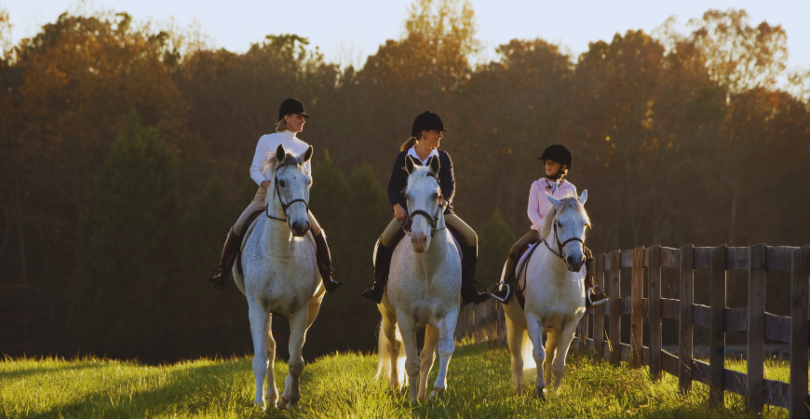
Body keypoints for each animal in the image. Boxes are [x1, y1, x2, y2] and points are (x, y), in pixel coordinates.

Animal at [232, 143, 325, 410]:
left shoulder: (301, 309)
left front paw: (292, 401)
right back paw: (271, 397)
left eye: (308, 181)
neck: (281, 252)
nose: (301, 226)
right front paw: (259, 403)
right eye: (281, 182)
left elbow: (296, 361)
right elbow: (261, 358)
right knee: (271, 350)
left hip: (313, 307)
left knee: (295, 346)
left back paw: (282, 397)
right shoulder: (258, 306)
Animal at [376, 154, 461, 403]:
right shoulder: (404, 316)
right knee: (394, 346)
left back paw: (424, 394)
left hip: (431, 323)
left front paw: (435, 391)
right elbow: (411, 362)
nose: (419, 240)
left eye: (436, 194)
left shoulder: (448, 313)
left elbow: (443, 351)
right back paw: (395, 386)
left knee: (427, 357)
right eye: (407, 195)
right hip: (388, 314)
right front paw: (413, 400)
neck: (427, 269)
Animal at [503, 191, 590, 399]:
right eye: (559, 223)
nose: (576, 261)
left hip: (554, 329)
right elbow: (538, 355)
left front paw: (555, 391)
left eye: (584, 224)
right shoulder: (534, 320)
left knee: (551, 354)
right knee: (518, 361)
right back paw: (519, 392)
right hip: (514, 325)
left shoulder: (570, 323)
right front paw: (540, 389)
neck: (558, 279)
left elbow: (559, 361)